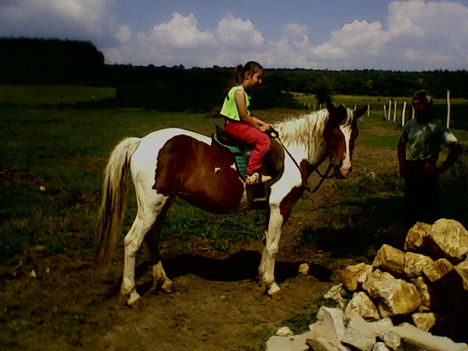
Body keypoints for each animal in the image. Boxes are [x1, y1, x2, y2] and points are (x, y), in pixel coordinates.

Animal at [94, 102, 366, 306]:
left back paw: (165, 282)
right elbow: (274, 246)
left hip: (163, 203)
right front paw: (272, 285)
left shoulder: (269, 209)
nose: (345, 169)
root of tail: (140, 142)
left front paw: (261, 277)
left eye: (354, 135)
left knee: (152, 238)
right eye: (333, 133)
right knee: (132, 241)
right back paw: (131, 294)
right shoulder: (280, 207)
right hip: (151, 205)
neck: (292, 154)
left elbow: (265, 241)